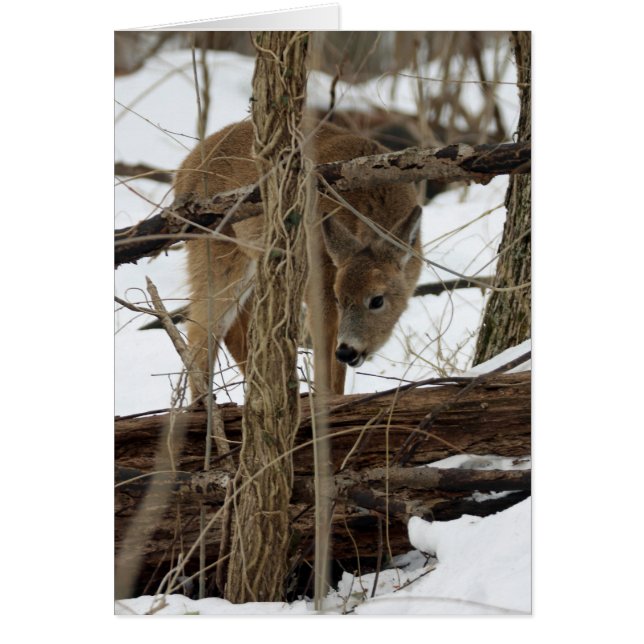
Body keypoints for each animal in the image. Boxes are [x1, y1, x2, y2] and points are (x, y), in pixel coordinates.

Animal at [174, 119, 423, 401]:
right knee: (201, 330)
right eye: (339, 297)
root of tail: (182, 170)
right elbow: (324, 359)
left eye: (377, 299)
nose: (348, 350)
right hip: (215, 253)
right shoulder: (318, 284)